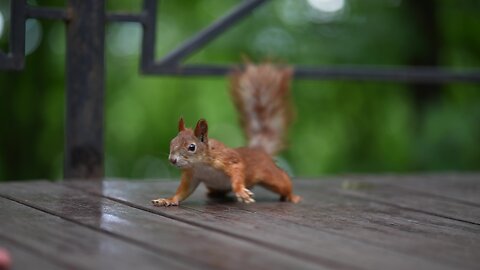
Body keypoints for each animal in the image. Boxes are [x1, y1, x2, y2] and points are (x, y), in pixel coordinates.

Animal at [152, 63, 300, 207]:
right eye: (171, 142)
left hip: (270, 174)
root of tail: (258, 150)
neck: (200, 165)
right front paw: (168, 200)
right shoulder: (192, 175)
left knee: (284, 182)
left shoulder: (228, 159)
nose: (172, 160)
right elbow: (182, 192)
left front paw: (240, 191)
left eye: (192, 147)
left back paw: (292, 196)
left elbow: (237, 171)